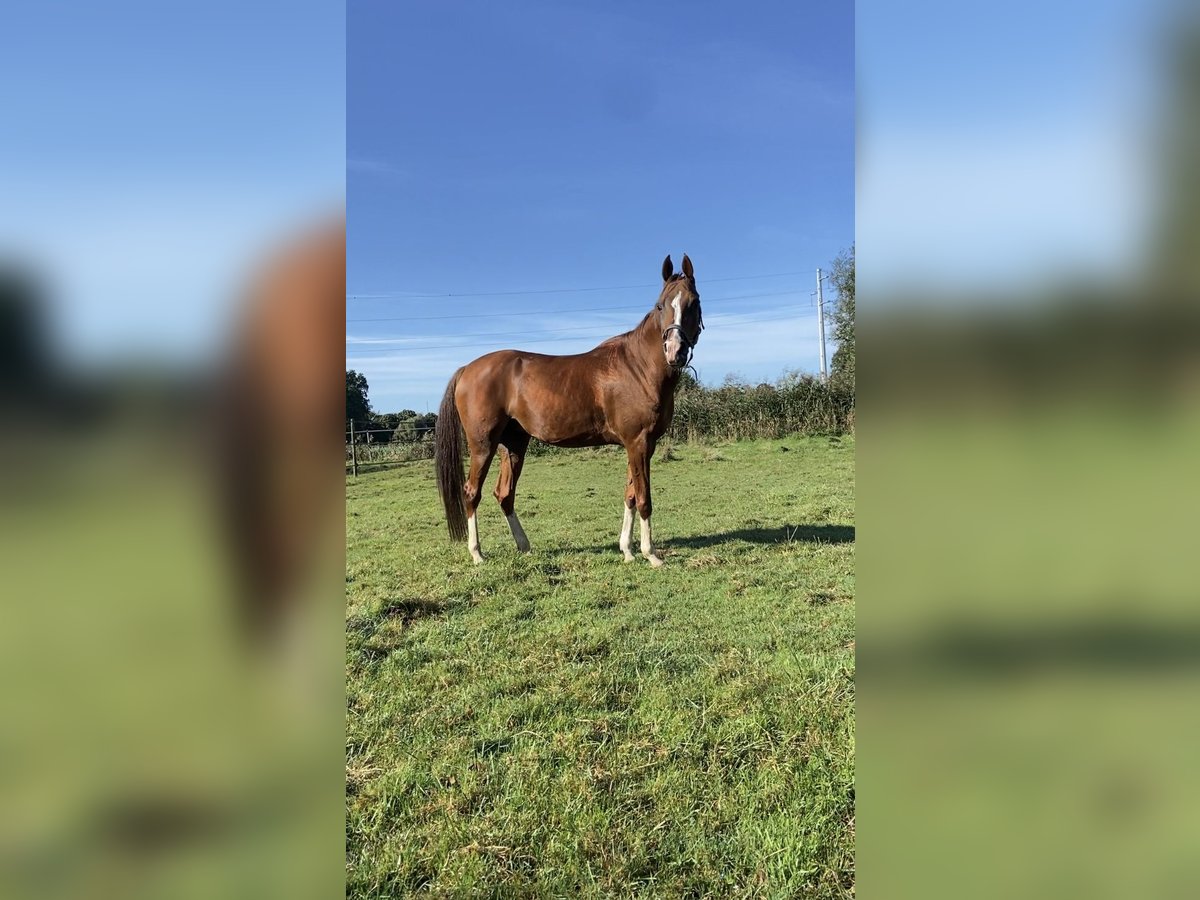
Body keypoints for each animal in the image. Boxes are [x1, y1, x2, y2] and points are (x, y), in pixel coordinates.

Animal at [436, 255, 700, 564]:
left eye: (693, 302)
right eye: (660, 305)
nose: (674, 351)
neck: (638, 367)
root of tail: (467, 368)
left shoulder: (639, 445)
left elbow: (630, 495)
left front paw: (627, 550)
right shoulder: (639, 442)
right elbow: (644, 498)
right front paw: (651, 555)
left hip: (513, 445)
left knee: (504, 494)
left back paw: (524, 546)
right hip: (482, 445)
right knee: (471, 493)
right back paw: (477, 554)